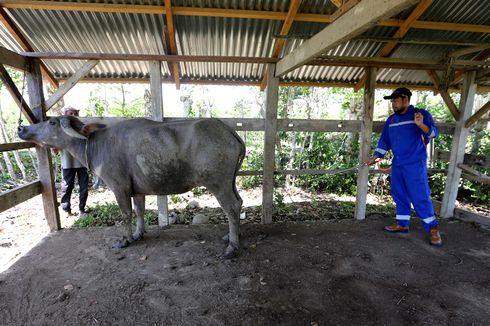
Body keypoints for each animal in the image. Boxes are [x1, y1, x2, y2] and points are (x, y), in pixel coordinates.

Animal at [18, 116, 245, 258]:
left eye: (52, 121)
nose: (22, 128)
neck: (95, 144)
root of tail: (229, 131)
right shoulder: (137, 190)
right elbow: (139, 210)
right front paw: (138, 233)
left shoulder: (119, 187)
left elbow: (126, 213)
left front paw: (125, 239)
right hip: (231, 181)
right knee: (239, 202)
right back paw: (232, 235)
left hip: (218, 183)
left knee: (231, 207)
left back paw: (232, 246)